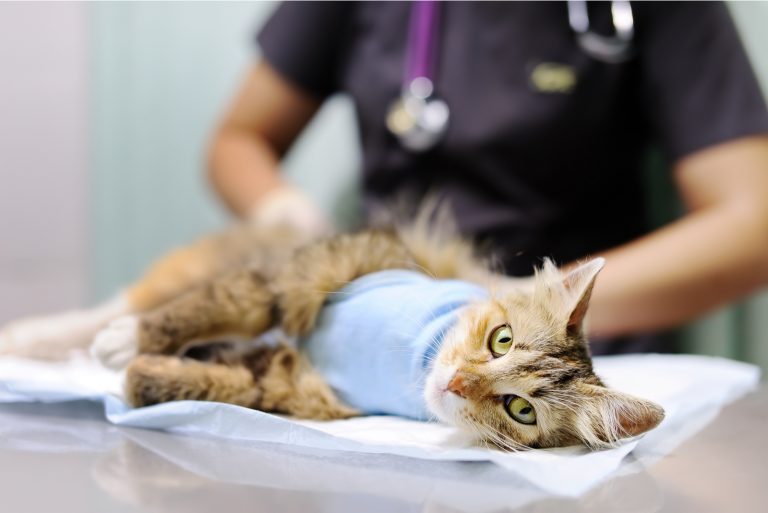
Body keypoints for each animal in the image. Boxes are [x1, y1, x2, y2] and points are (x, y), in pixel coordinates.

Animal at [0, 212, 664, 448]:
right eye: (500, 339)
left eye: (520, 409)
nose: (455, 384)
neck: (412, 356)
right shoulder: (305, 278)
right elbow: (216, 308)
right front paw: (131, 344)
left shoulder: (294, 388)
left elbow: (219, 384)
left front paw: (145, 374)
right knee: (117, 304)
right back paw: (41, 338)